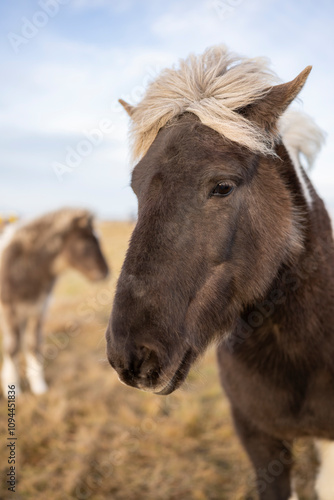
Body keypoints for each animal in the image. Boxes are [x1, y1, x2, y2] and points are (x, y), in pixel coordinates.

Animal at [0, 207, 108, 394]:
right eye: (86, 245)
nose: (105, 272)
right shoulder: (9, 310)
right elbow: (12, 347)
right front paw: (12, 388)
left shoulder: (37, 308)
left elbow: (33, 344)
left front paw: (38, 386)